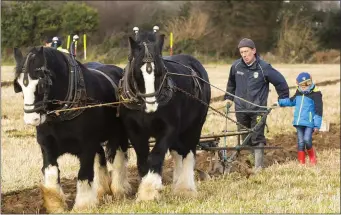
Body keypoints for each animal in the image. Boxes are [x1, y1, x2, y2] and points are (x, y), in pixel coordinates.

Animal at [12, 46, 130, 212]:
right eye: (19, 86)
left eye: (41, 85)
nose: (31, 120)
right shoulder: (47, 144)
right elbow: (51, 172)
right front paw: (55, 205)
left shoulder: (87, 145)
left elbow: (84, 174)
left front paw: (83, 205)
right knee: (100, 156)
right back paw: (101, 190)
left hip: (120, 134)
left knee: (120, 156)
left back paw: (120, 189)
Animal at [119, 31, 210, 201]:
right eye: (137, 72)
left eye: (160, 72)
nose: (151, 105)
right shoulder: (134, 132)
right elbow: (143, 159)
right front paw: (145, 190)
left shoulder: (169, 129)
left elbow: (156, 155)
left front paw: (149, 190)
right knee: (178, 152)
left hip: (195, 126)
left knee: (188, 152)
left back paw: (185, 187)